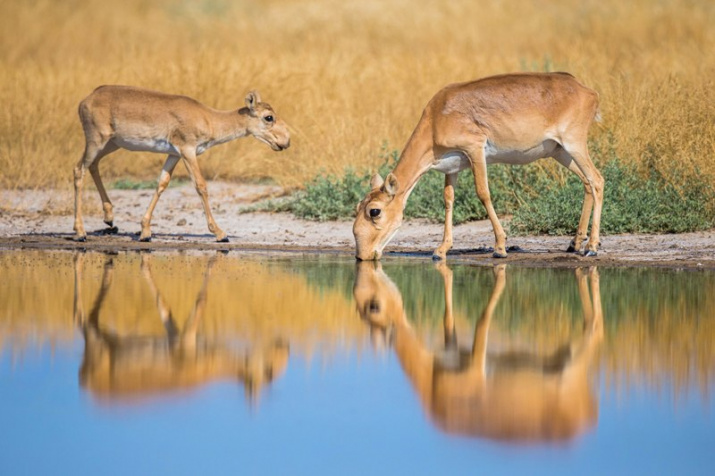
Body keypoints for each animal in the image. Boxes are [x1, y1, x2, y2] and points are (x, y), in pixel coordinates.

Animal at [73, 86, 290, 242]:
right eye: (269, 117)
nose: (286, 141)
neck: (209, 118)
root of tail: (85, 100)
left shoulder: (173, 154)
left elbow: (162, 183)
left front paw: (145, 231)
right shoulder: (188, 151)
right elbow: (201, 185)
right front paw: (220, 233)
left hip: (112, 144)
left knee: (92, 166)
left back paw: (109, 218)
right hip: (96, 141)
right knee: (78, 169)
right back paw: (80, 232)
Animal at [354, 71, 604, 260]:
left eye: (374, 211)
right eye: (358, 206)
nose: (362, 255)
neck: (436, 119)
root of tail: (589, 92)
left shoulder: (475, 149)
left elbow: (483, 193)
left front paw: (500, 247)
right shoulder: (452, 167)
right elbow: (448, 200)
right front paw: (441, 249)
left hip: (574, 143)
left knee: (597, 180)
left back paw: (591, 247)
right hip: (559, 152)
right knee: (586, 182)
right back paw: (575, 243)